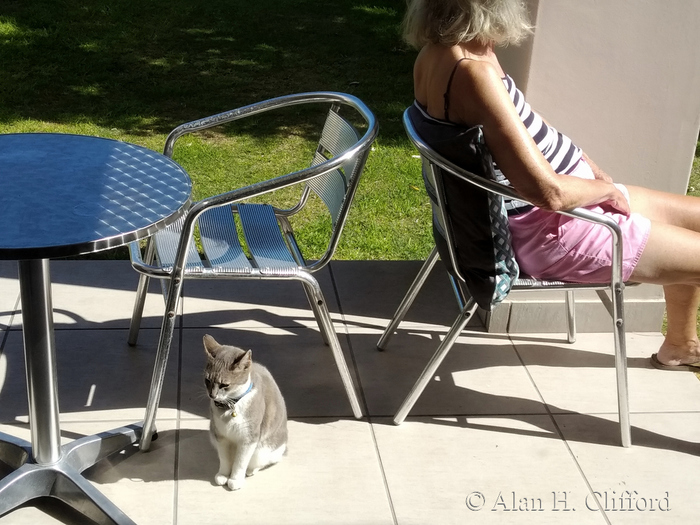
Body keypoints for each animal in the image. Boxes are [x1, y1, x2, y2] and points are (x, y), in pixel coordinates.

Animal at [202, 334, 288, 490]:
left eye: (224, 385)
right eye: (207, 380)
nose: (212, 395)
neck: (230, 406)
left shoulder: (248, 439)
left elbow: (240, 462)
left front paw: (235, 479)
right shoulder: (220, 436)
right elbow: (224, 459)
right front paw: (223, 475)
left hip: (263, 451)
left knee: (263, 462)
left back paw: (251, 470)